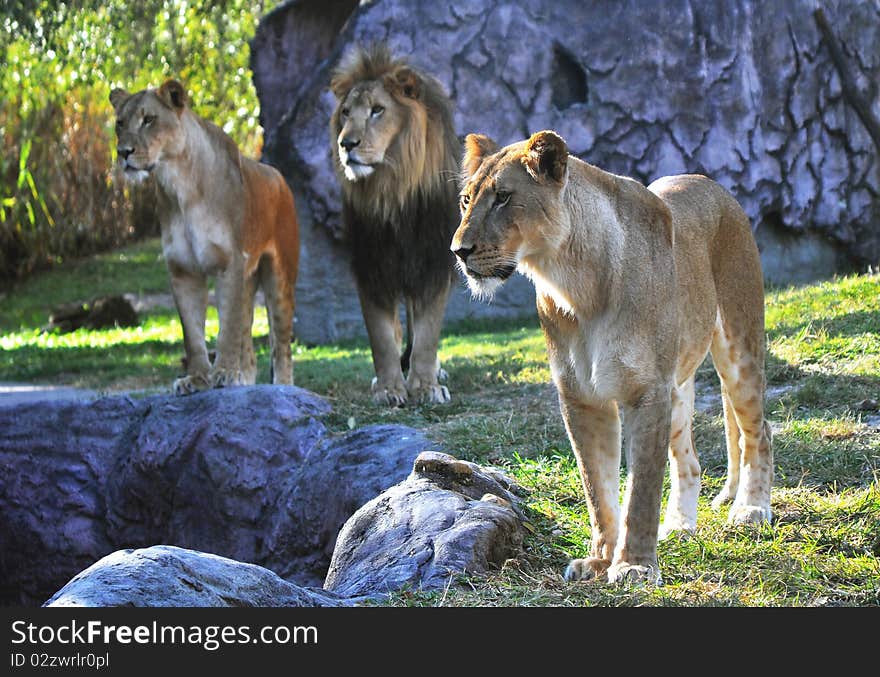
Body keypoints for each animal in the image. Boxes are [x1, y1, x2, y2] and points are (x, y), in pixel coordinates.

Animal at [109, 79, 300, 394]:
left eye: (148, 119)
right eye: (120, 123)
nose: (123, 152)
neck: (177, 185)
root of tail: (279, 177)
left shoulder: (230, 263)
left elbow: (226, 331)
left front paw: (223, 373)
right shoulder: (183, 270)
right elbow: (193, 333)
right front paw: (197, 378)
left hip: (280, 277)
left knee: (280, 345)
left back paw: (282, 387)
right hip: (248, 282)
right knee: (249, 350)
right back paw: (244, 380)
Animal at [326, 45, 458, 404]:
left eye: (377, 111)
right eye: (346, 113)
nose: (346, 144)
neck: (391, 191)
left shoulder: (432, 265)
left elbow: (427, 334)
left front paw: (426, 386)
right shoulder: (372, 268)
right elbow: (382, 337)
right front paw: (388, 389)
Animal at [454, 129, 768, 584]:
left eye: (503, 197)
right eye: (466, 200)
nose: (458, 250)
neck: (574, 281)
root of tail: (713, 185)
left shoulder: (646, 393)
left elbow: (641, 489)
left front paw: (635, 565)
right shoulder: (582, 396)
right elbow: (597, 487)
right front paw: (601, 559)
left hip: (739, 347)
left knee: (757, 432)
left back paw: (752, 509)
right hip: (677, 390)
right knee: (689, 462)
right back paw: (679, 527)